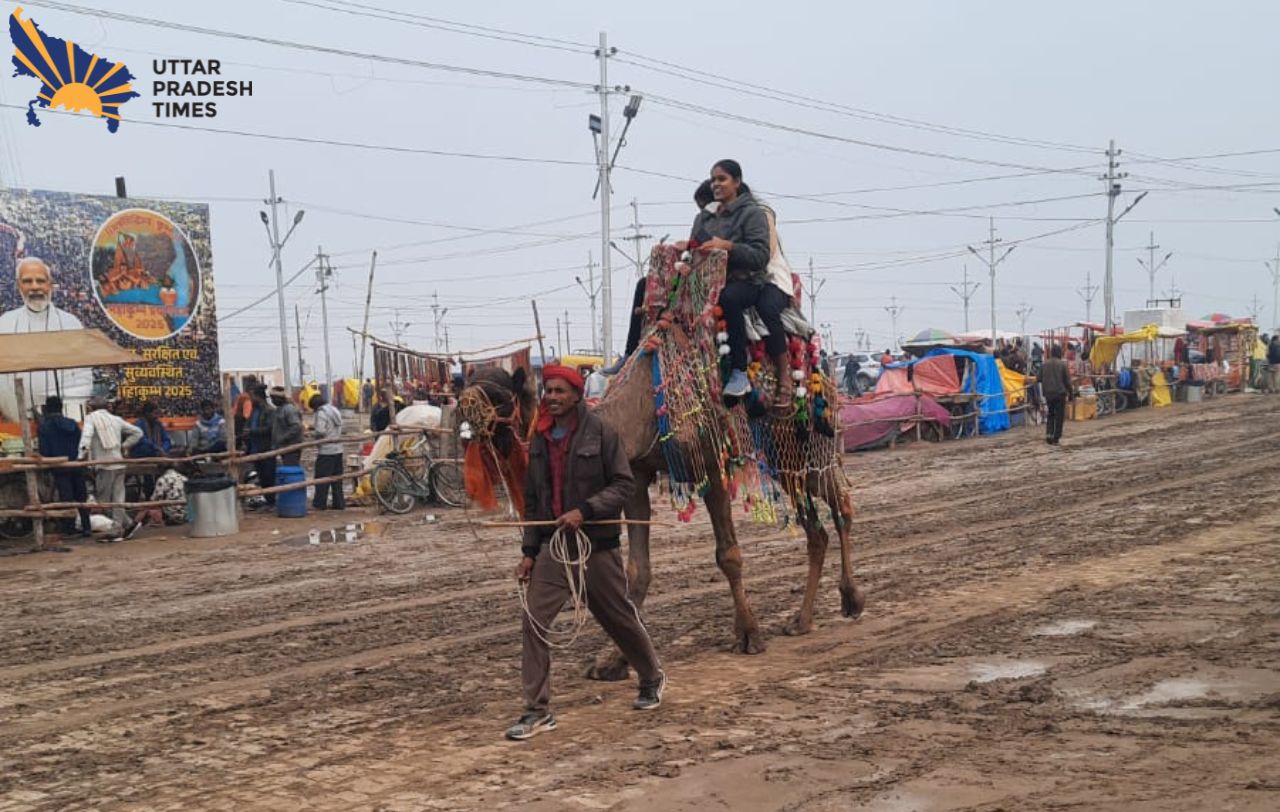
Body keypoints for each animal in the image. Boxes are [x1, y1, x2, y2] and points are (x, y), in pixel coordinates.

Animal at [455, 249, 865, 671]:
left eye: (497, 392)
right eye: (468, 383)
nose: (464, 412)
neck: (637, 408)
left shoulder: (709, 466)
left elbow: (728, 554)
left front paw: (749, 635)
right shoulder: (634, 475)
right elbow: (637, 568)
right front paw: (616, 660)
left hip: (807, 443)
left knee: (842, 506)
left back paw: (851, 599)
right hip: (785, 459)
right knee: (818, 527)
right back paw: (803, 620)